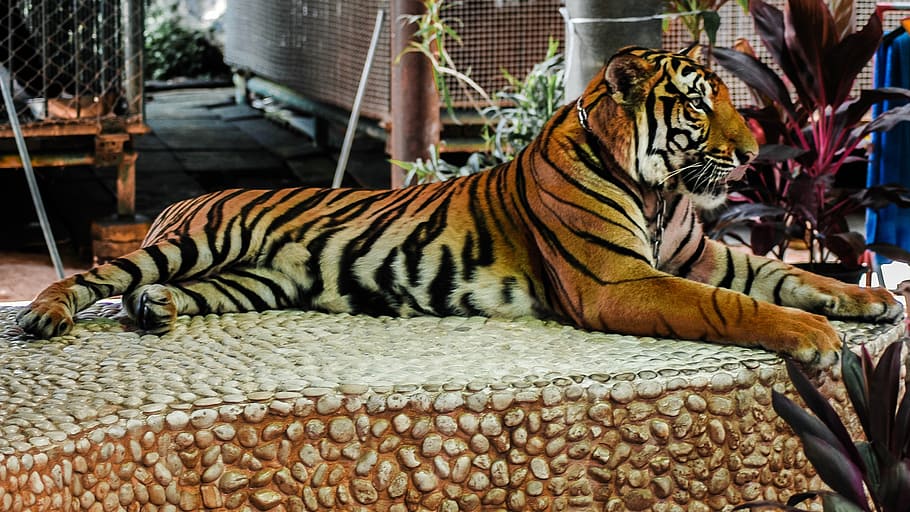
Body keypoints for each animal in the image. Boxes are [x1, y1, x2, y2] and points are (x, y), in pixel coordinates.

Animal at [17, 46, 903, 366]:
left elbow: (789, 278)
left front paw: (870, 300)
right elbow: (731, 306)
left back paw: (157, 312)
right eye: (696, 102)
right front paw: (815, 338)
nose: (753, 151)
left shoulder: (702, 252)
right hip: (190, 242)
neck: (657, 191)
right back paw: (45, 316)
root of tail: (187, 199)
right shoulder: (622, 282)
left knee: (160, 291)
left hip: (251, 280)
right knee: (96, 274)